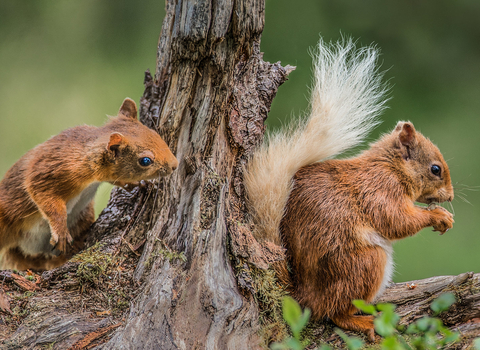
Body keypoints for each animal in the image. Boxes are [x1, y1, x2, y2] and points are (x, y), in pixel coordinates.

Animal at [0, 98, 178, 270]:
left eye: (155, 134)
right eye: (145, 161)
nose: (175, 165)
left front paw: (136, 183)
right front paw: (61, 232)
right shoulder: (51, 171)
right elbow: (45, 197)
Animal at [244, 37, 454, 340]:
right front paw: (438, 216)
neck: (391, 168)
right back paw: (363, 322)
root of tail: (303, 296)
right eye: (435, 169)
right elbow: (396, 220)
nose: (450, 196)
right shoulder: (379, 190)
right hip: (364, 264)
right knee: (335, 313)